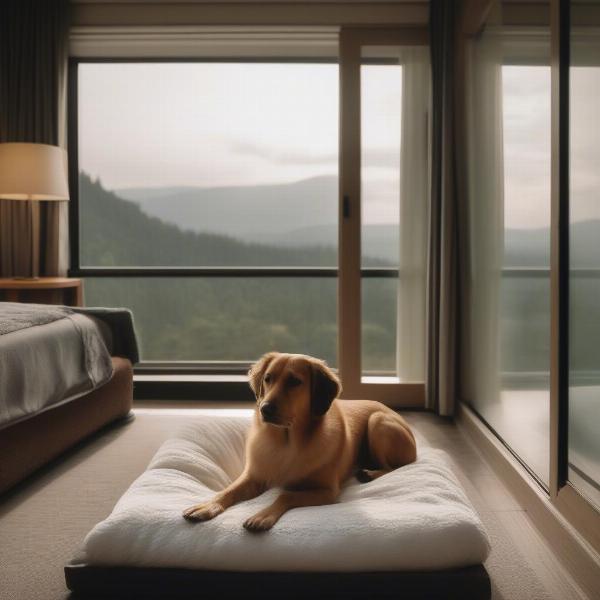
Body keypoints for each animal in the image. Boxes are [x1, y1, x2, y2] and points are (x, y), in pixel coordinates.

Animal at [183, 354, 418, 532]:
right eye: (268, 378)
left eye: (294, 382)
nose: (265, 409)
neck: (286, 442)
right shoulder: (253, 476)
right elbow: (228, 491)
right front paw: (206, 506)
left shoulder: (326, 491)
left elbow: (286, 494)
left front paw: (263, 515)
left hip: (377, 422)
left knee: (394, 467)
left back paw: (369, 473)